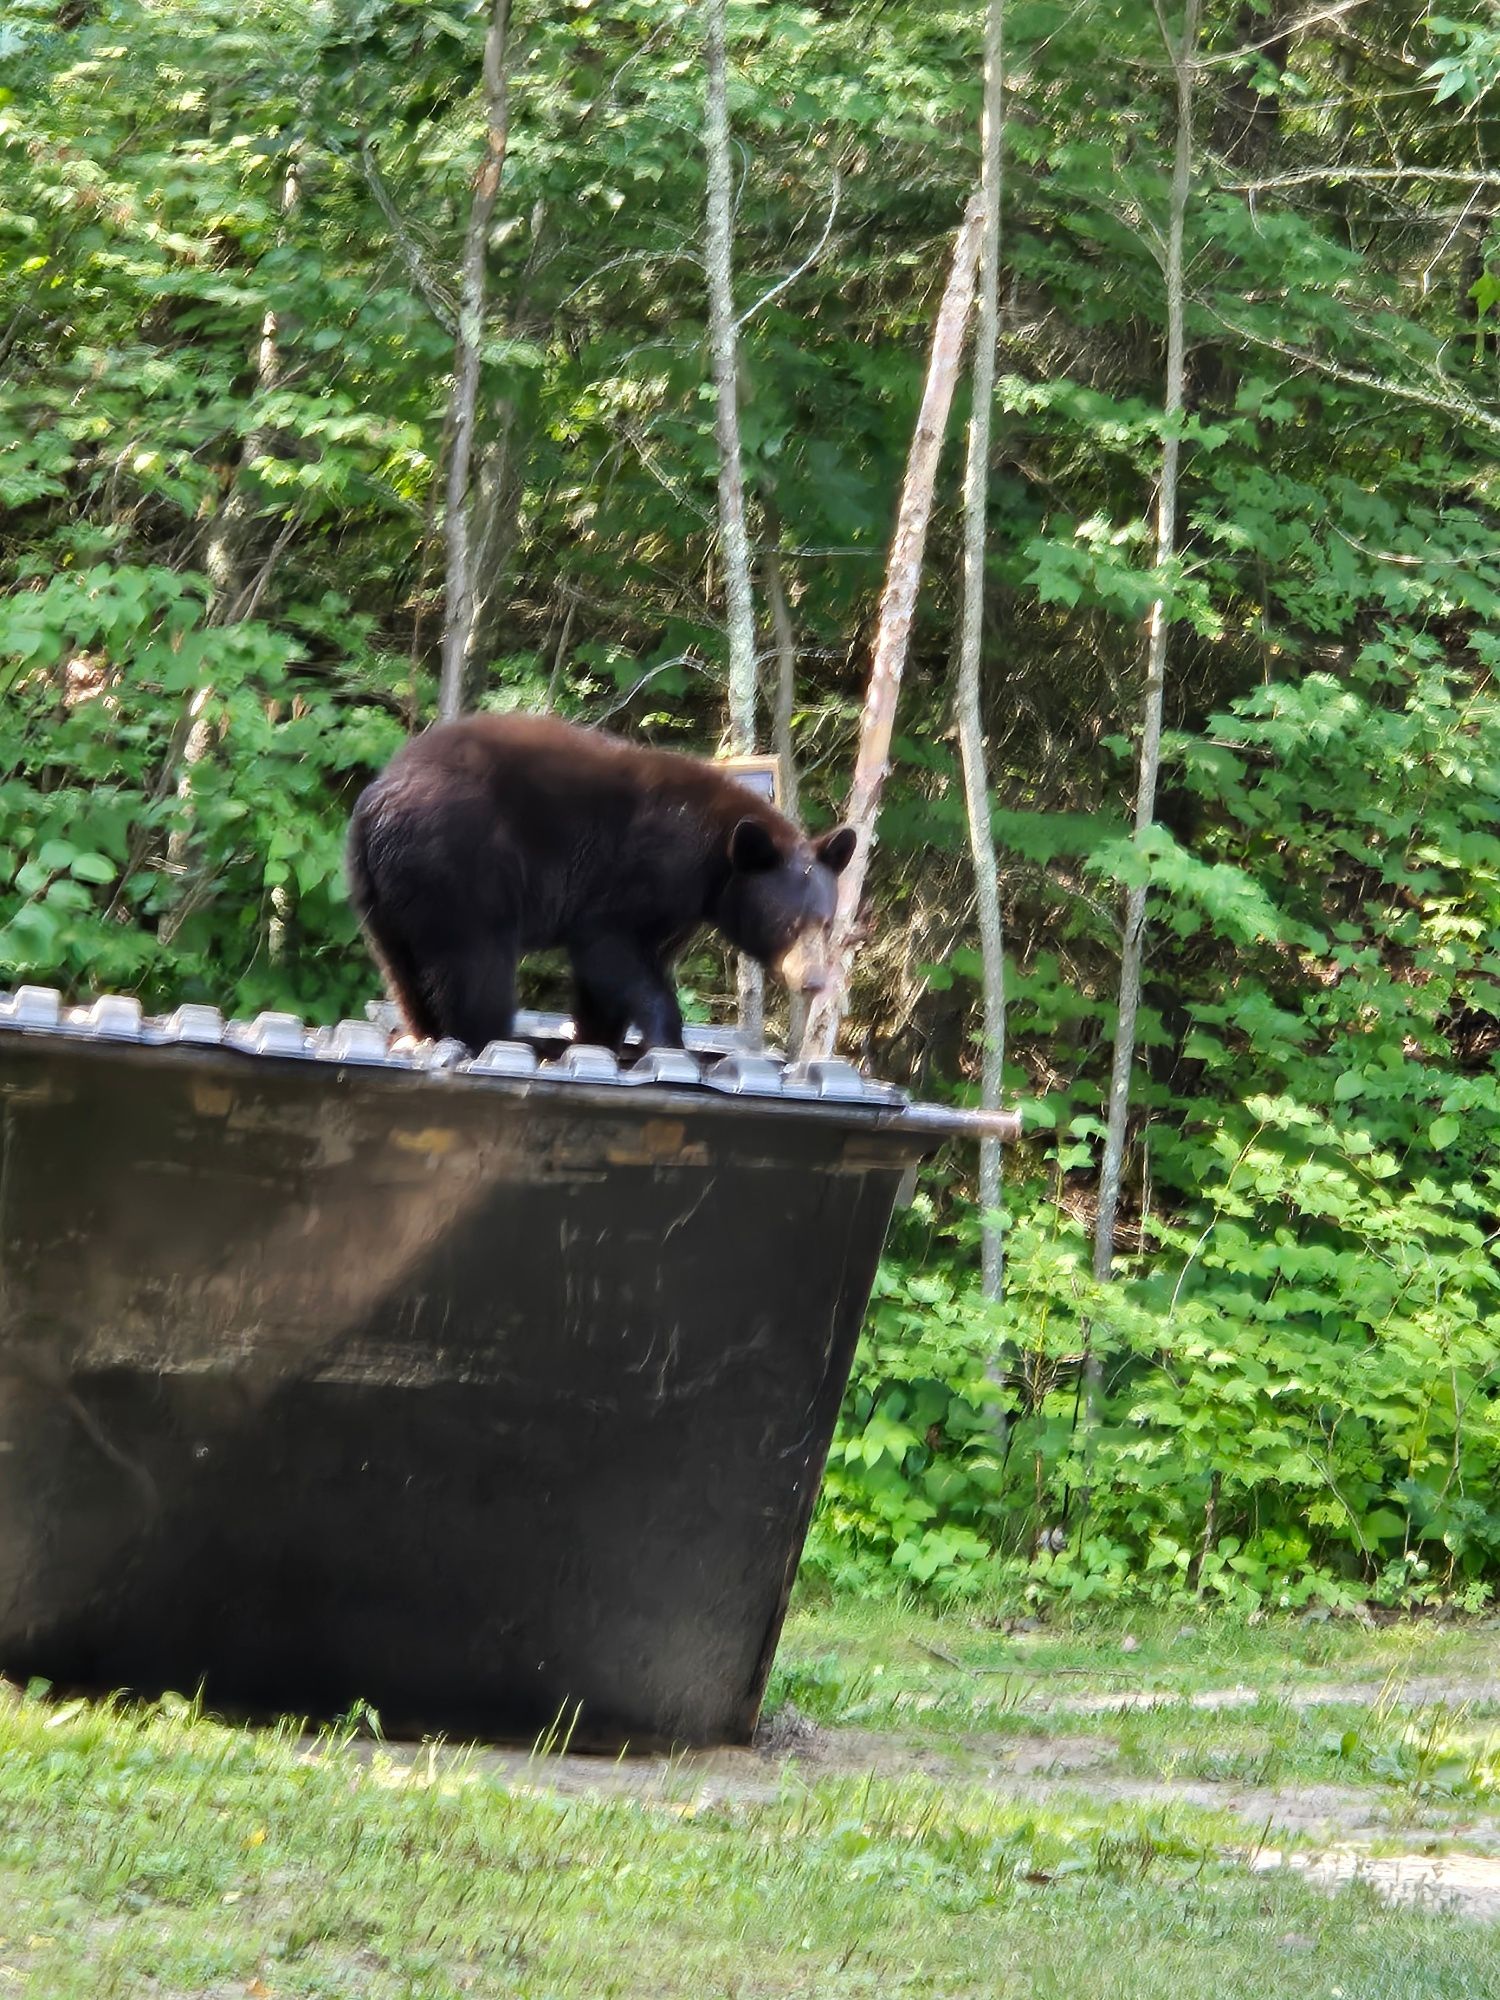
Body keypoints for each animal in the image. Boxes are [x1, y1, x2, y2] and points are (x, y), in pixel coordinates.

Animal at [346, 713, 857, 1056]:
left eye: (827, 924)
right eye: (789, 923)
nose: (813, 981)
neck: (714, 854)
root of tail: (374, 802)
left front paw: (599, 1035)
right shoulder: (641, 870)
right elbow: (609, 948)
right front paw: (665, 1036)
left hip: (383, 892)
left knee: (402, 966)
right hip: (459, 863)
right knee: (475, 963)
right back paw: (491, 1035)